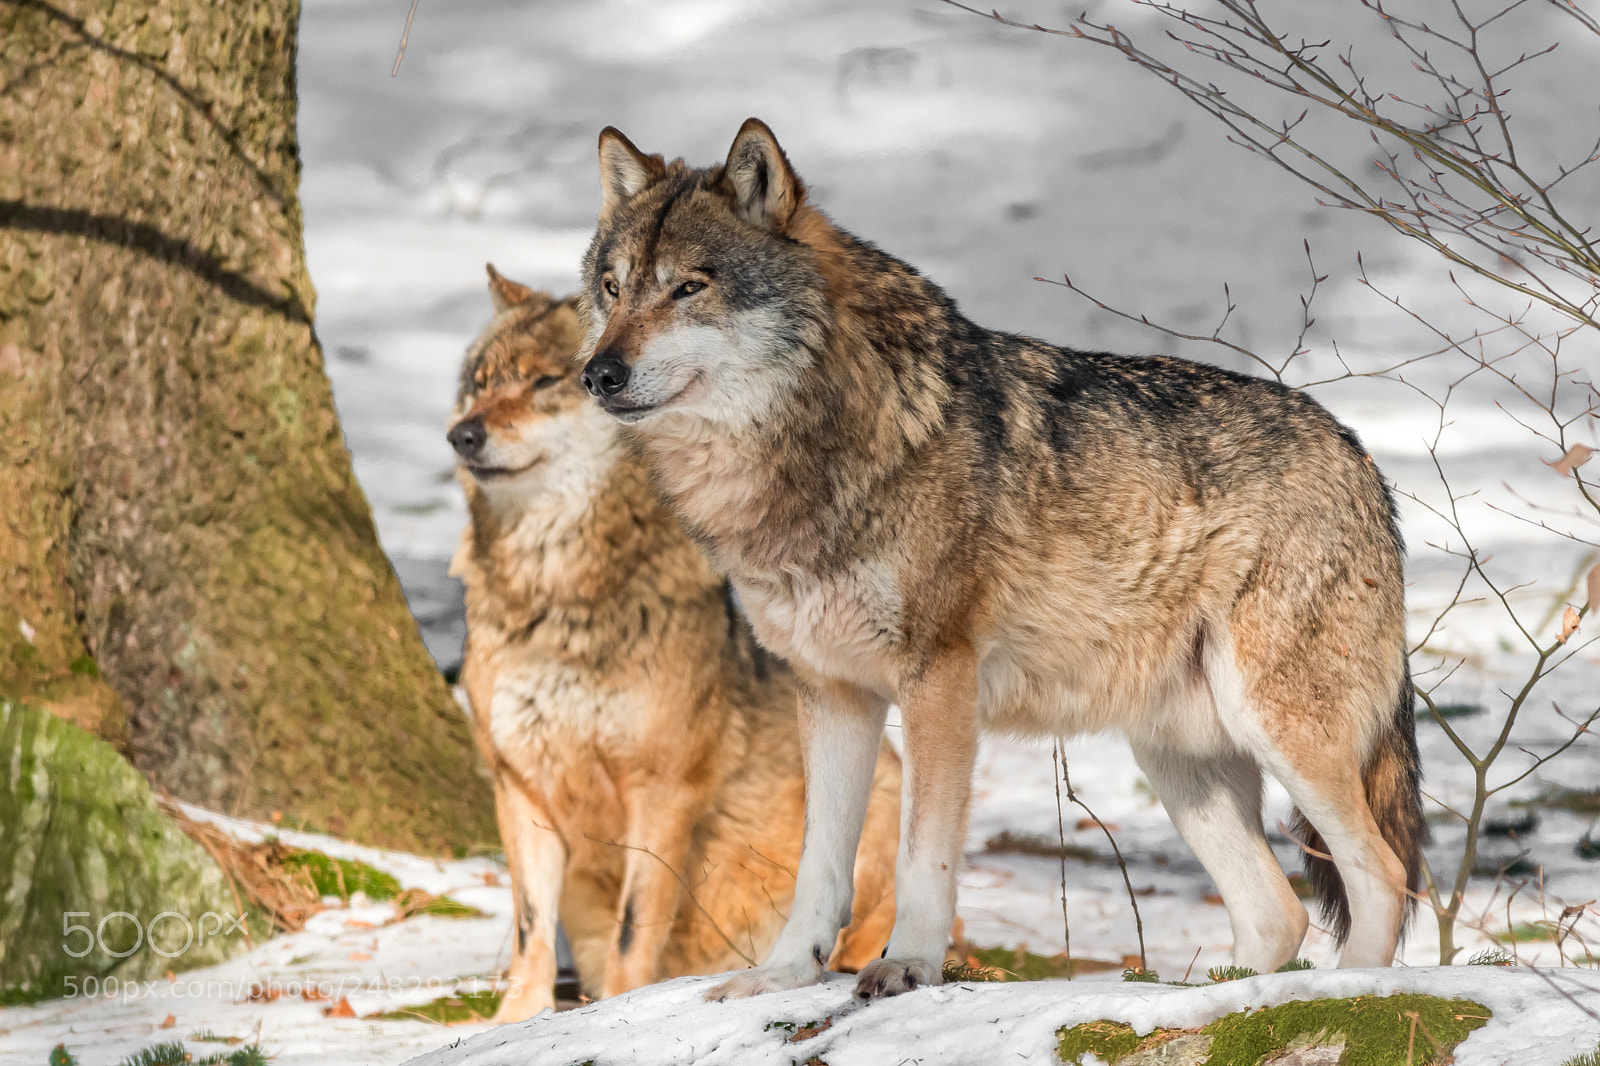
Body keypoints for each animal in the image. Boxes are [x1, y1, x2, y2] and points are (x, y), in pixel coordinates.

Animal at [447, 266, 904, 1021]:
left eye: (546, 382)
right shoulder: (519, 784)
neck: (554, 599)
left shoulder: (662, 792)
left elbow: (636, 928)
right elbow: (530, 927)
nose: (461, 435)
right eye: (481, 383)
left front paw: (614, 1011)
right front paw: (515, 1022)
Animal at [573, 119, 1425, 1000]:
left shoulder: (938, 680)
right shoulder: (832, 692)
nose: (598, 373)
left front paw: (908, 964)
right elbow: (819, 865)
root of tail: (1361, 457)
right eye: (612, 287)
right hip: (1177, 761)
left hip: (1280, 731)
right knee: (1278, 914)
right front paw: (783, 974)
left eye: (689, 288)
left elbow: (924, 854)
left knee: (1384, 877)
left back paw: (1348, 994)